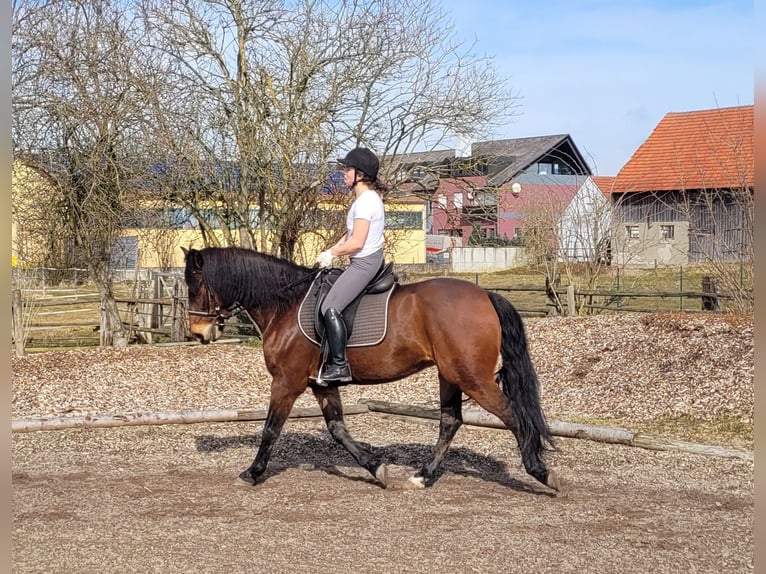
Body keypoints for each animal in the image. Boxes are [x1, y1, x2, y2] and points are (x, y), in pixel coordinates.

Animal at [183, 245, 560, 492]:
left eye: (195, 285)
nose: (198, 333)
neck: (284, 304)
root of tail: (485, 295)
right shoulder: (321, 384)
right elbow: (338, 430)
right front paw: (377, 468)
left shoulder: (287, 382)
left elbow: (270, 429)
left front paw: (253, 472)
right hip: (450, 375)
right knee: (450, 421)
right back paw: (424, 475)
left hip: (472, 377)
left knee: (512, 415)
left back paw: (541, 472)